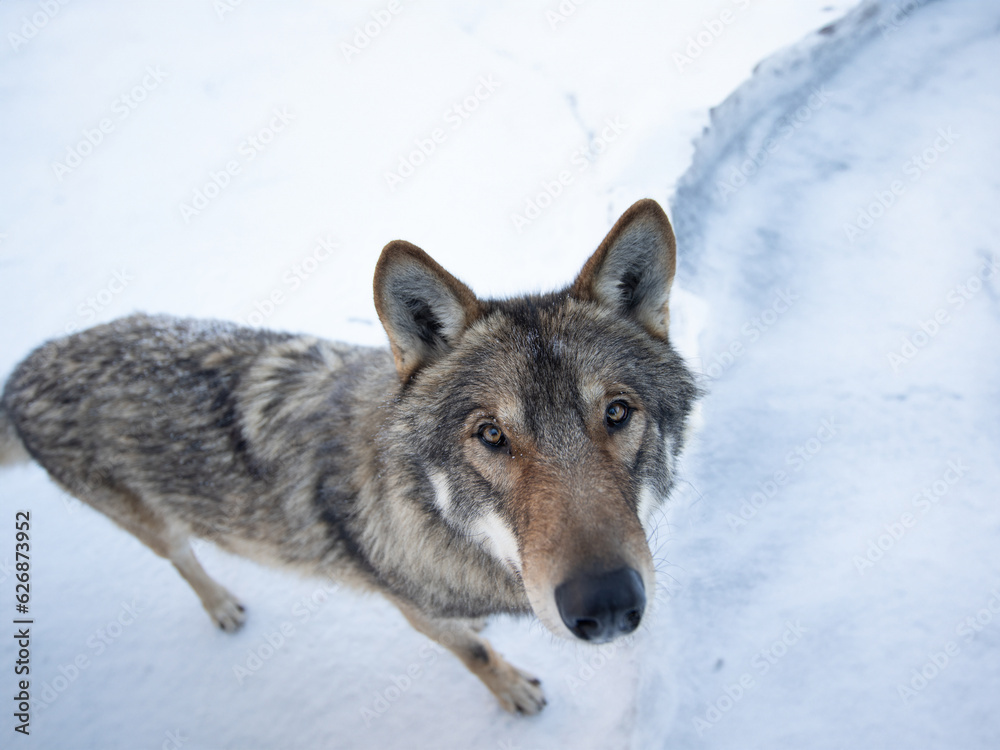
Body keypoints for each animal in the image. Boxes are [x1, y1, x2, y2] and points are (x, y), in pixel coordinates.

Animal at [1, 200, 696, 716]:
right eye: (492, 435)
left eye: (616, 413)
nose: (606, 605)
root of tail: (24, 370)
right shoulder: (412, 610)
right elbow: (472, 655)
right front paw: (514, 693)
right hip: (157, 527)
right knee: (183, 562)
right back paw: (223, 607)